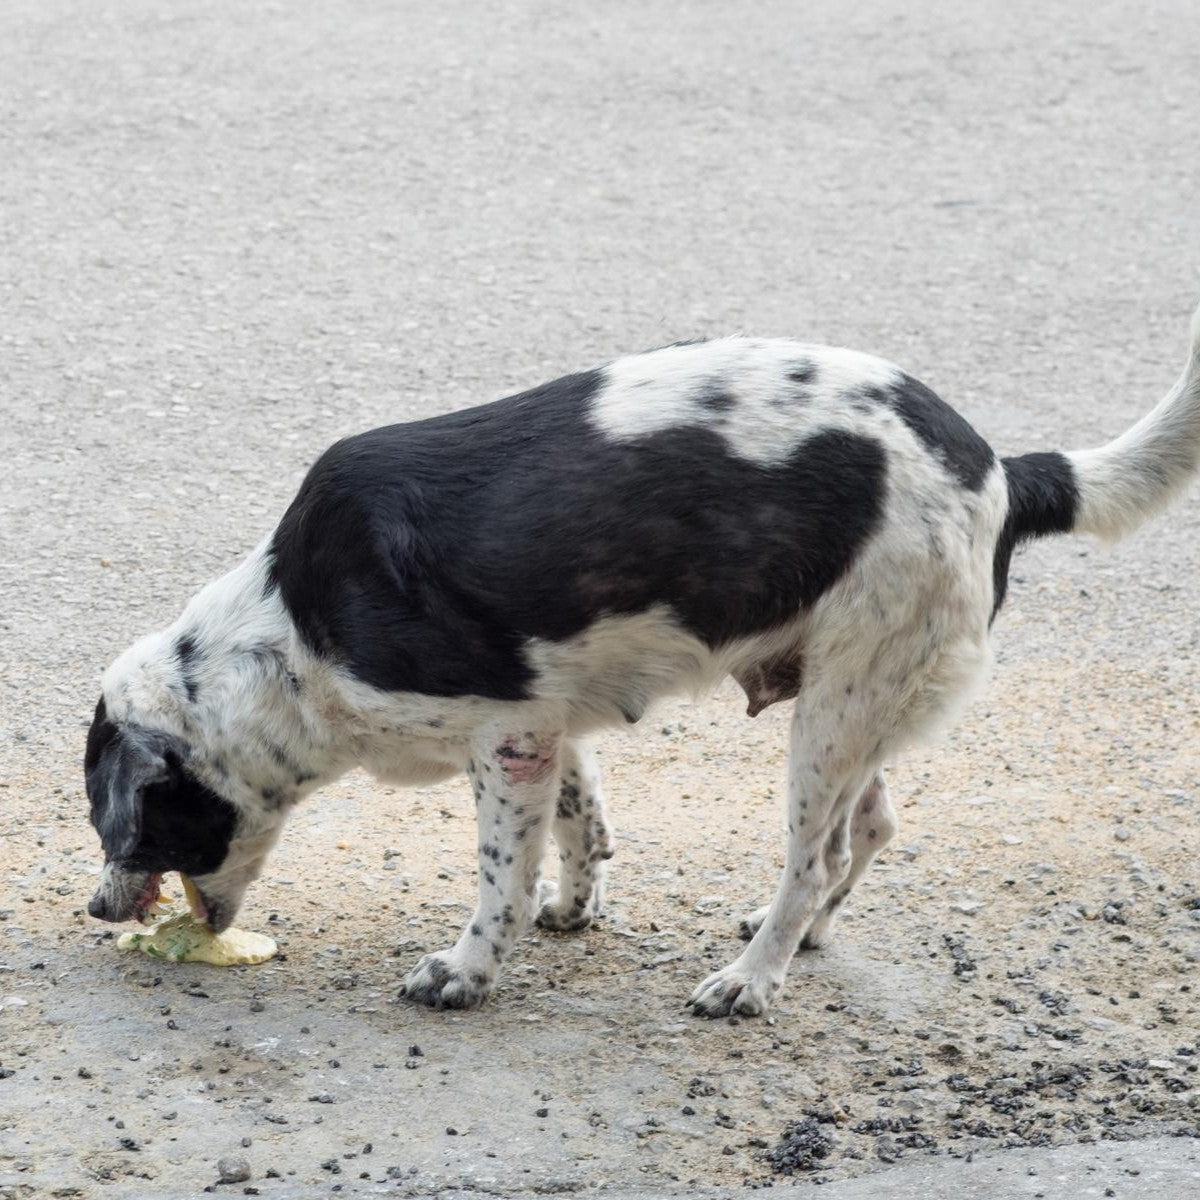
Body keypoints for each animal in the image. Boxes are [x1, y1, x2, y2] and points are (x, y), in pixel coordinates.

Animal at [84, 304, 1200, 1017]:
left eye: (122, 826)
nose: (94, 910)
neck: (291, 633)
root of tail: (1002, 469)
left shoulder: (507, 740)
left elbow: (499, 875)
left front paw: (469, 970)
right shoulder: (546, 725)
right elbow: (582, 828)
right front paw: (572, 912)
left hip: (838, 710)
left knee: (817, 853)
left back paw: (753, 978)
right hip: (861, 697)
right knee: (873, 824)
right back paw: (803, 938)